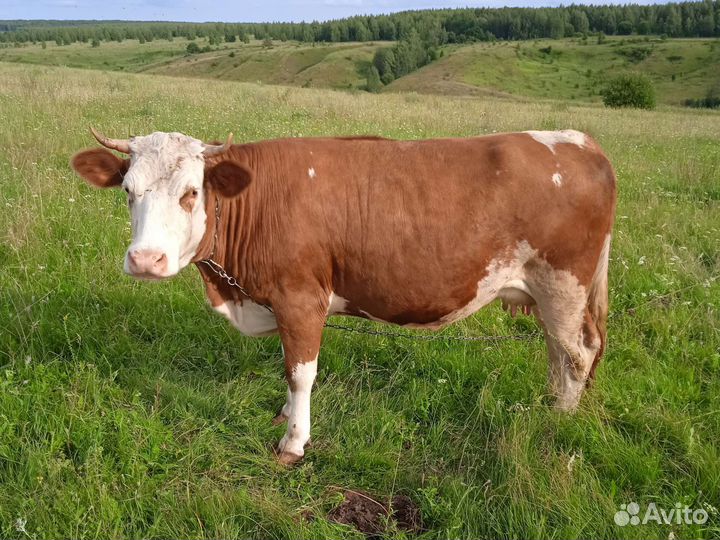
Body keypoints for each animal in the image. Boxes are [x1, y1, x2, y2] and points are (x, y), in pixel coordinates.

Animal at [71, 128, 616, 465]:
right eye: (128, 191)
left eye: (190, 192)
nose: (146, 260)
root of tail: (580, 141)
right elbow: (288, 366)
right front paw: (285, 415)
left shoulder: (301, 299)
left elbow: (301, 371)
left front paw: (293, 442)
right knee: (562, 351)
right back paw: (549, 404)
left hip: (562, 285)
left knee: (576, 352)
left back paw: (558, 421)